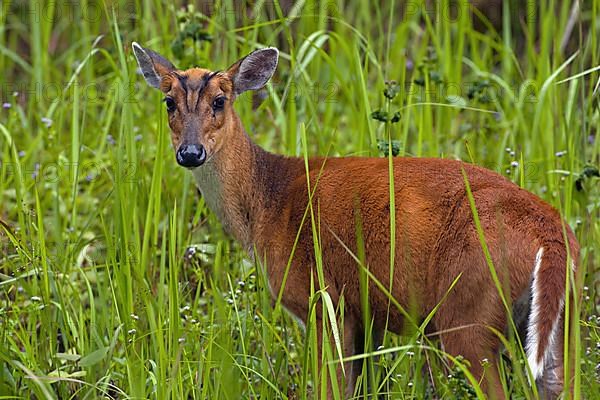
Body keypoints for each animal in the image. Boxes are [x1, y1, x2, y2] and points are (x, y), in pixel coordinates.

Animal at [132, 42, 580, 398]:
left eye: (220, 100)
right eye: (168, 101)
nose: (191, 152)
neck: (267, 204)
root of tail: (552, 236)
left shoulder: (323, 298)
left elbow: (329, 388)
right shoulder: (366, 314)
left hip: (467, 313)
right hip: (560, 320)